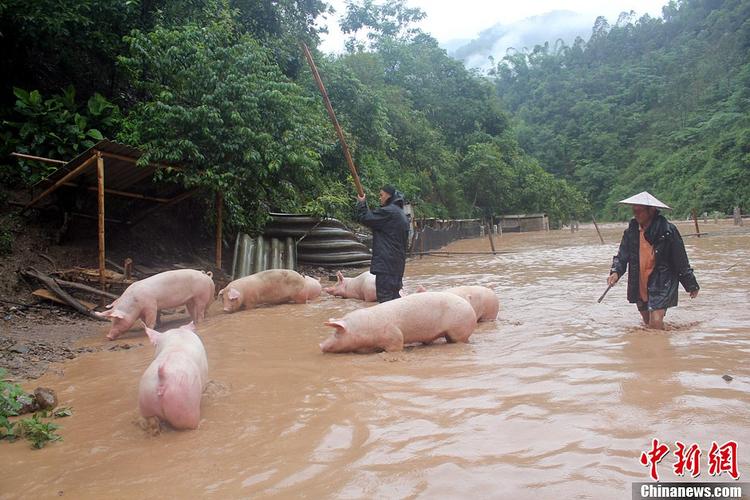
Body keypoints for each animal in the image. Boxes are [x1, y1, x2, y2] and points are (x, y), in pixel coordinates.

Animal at [322, 292, 476, 354]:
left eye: (337, 333)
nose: (320, 345)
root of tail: (469, 305)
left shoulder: (394, 335)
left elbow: (396, 345)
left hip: (459, 330)